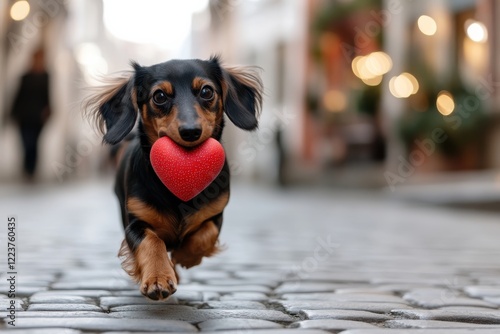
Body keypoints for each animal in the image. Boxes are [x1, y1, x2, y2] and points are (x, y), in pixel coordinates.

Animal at [86, 55, 264, 300]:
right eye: (159, 96)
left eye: (207, 91)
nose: (190, 132)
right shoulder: (135, 223)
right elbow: (152, 240)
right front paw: (158, 278)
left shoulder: (216, 215)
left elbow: (205, 234)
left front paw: (183, 256)